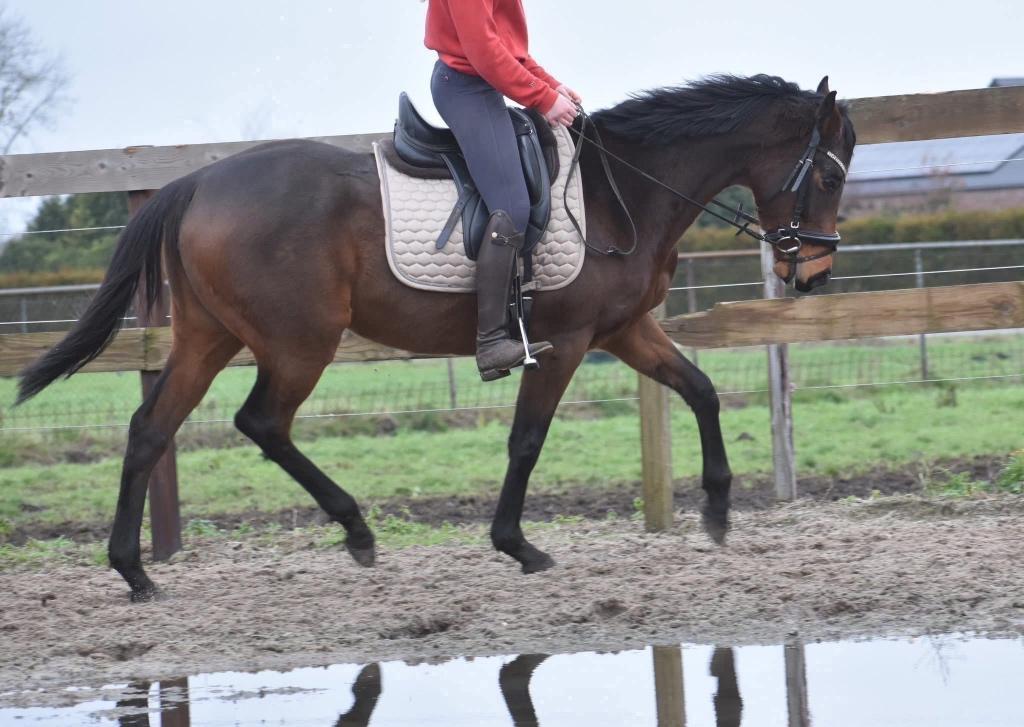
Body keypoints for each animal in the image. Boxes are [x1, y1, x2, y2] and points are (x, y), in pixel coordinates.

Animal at [16, 74, 856, 601]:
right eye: (831, 175)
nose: (813, 272)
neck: (625, 190)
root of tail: (196, 183)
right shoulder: (567, 341)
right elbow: (527, 437)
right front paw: (517, 543)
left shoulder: (623, 330)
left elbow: (701, 388)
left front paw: (717, 509)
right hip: (299, 343)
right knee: (262, 421)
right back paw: (355, 529)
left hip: (208, 337)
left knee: (150, 428)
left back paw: (134, 571)